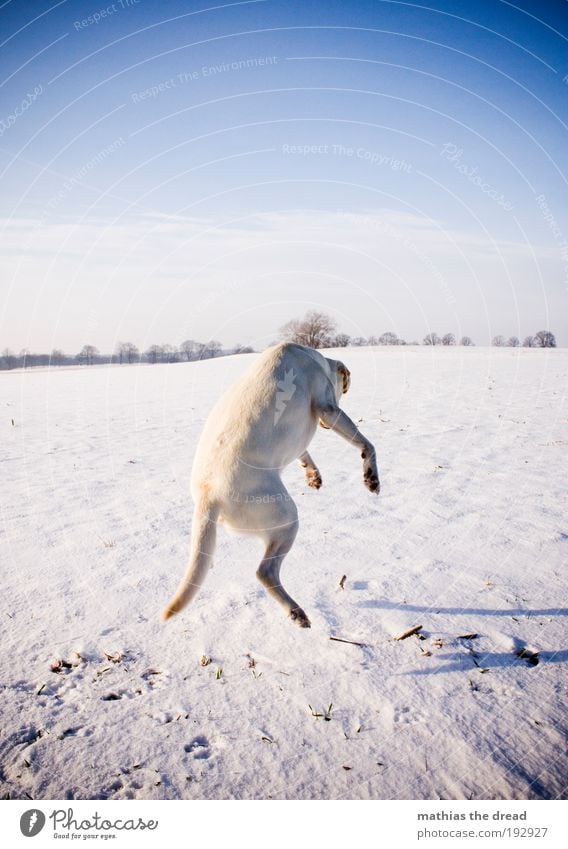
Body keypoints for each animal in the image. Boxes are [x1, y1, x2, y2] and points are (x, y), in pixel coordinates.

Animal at [162, 342, 380, 628]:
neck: (313, 357)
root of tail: (207, 497)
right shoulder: (328, 408)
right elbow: (366, 443)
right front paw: (371, 477)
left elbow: (304, 454)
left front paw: (313, 475)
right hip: (287, 519)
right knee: (264, 572)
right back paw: (296, 612)